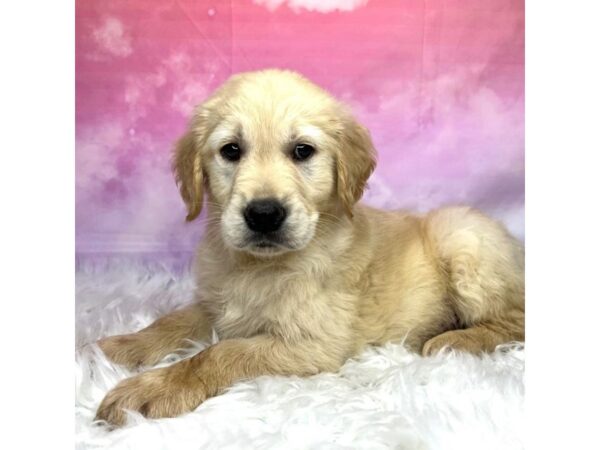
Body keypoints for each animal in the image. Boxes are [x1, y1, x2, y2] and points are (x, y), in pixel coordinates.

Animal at [95, 69, 524, 426]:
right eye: (231, 150)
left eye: (302, 151)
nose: (264, 214)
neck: (258, 266)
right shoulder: (219, 303)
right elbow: (173, 321)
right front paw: (121, 346)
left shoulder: (313, 344)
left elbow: (218, 353)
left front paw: (153, 388)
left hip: (462, 235)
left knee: (514, 320)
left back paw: (453, 341)